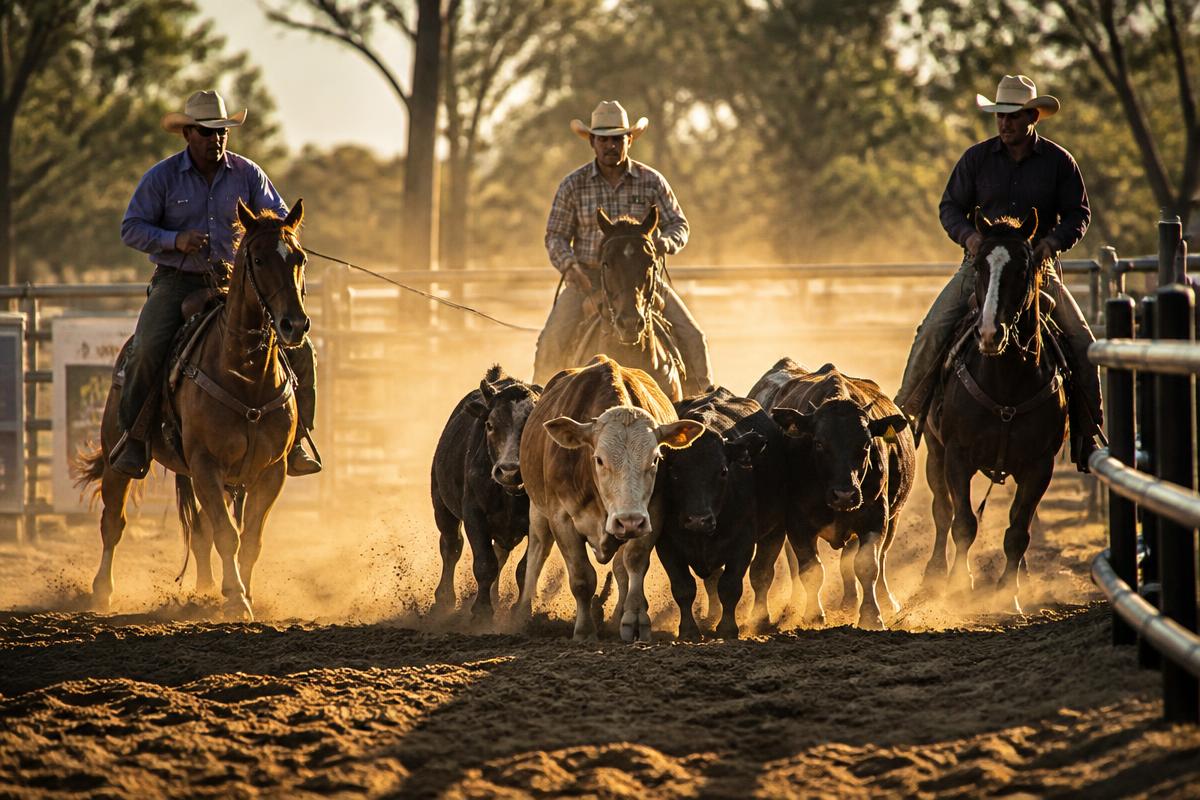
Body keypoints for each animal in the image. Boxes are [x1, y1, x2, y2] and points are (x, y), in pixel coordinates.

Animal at [430, 365, 540, 621]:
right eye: (490, 425)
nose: (509, 471)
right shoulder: (474, 516)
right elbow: (484, 564)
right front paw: (481, 611)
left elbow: (525, 569)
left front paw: (522, 611)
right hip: (441, 505)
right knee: (451, 546)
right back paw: (444, 600)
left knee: (500, 555)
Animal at [515, 355, 704, 641]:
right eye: (599, 459)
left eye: (655, 459)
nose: (629, 521)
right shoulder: (562, 518)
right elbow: (582, 577)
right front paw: (584, 631)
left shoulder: (652, 513)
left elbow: (633, 562)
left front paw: (634, 619)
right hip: (538, 510)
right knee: (538, 551)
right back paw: (524, 614)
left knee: (620, 569)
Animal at [657, 387, 789, 640]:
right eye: (674, 472)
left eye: (723, 471)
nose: (699, 520)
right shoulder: (666, 544)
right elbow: (683, 587)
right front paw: (689, 630)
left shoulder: (743, 543)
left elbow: (730, 586)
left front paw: (727, 628)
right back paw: (710, 617)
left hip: (775, 531)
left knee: (761, 575)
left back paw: (761, 619)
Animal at [749, 358, 915, 630]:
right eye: (818, 443)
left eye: (866, 444)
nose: (845, 495)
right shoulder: (798, 523)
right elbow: (811, 569)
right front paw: (813, 615)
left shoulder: (875, 517)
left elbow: (867, 565)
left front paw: (872, 615)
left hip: (894, 516)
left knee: (875, 558)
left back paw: (875, 602)